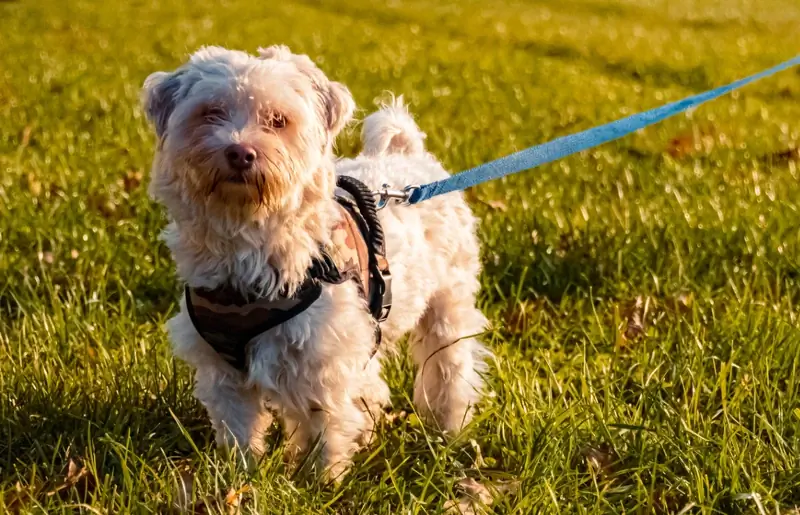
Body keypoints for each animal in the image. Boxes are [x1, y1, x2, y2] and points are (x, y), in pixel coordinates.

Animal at [141, 44, 490, 480]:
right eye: (210, 113)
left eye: (278, 121)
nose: (239, 151)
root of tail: (407, 157)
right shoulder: (222, 370)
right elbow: (238, 430)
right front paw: (239, 478)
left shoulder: (322, 358)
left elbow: (324, 427)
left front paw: (321, 482)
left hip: (447, 307)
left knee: (450, 369)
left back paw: (449, 431)